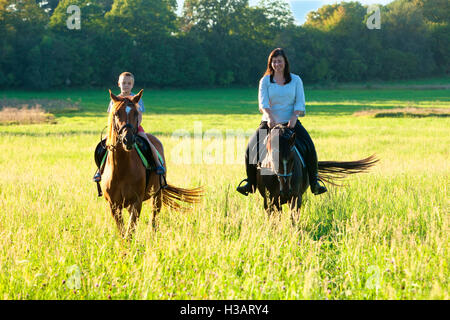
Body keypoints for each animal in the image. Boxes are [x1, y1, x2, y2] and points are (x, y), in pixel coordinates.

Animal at [103, 89, 203, 239]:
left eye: (136, 113)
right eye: (116, 113)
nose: (128, 140)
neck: (121, 169)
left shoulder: (137, 202)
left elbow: (130, 231)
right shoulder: (114, 205)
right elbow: (123, 233)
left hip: (157, 195)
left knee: (154, 219)